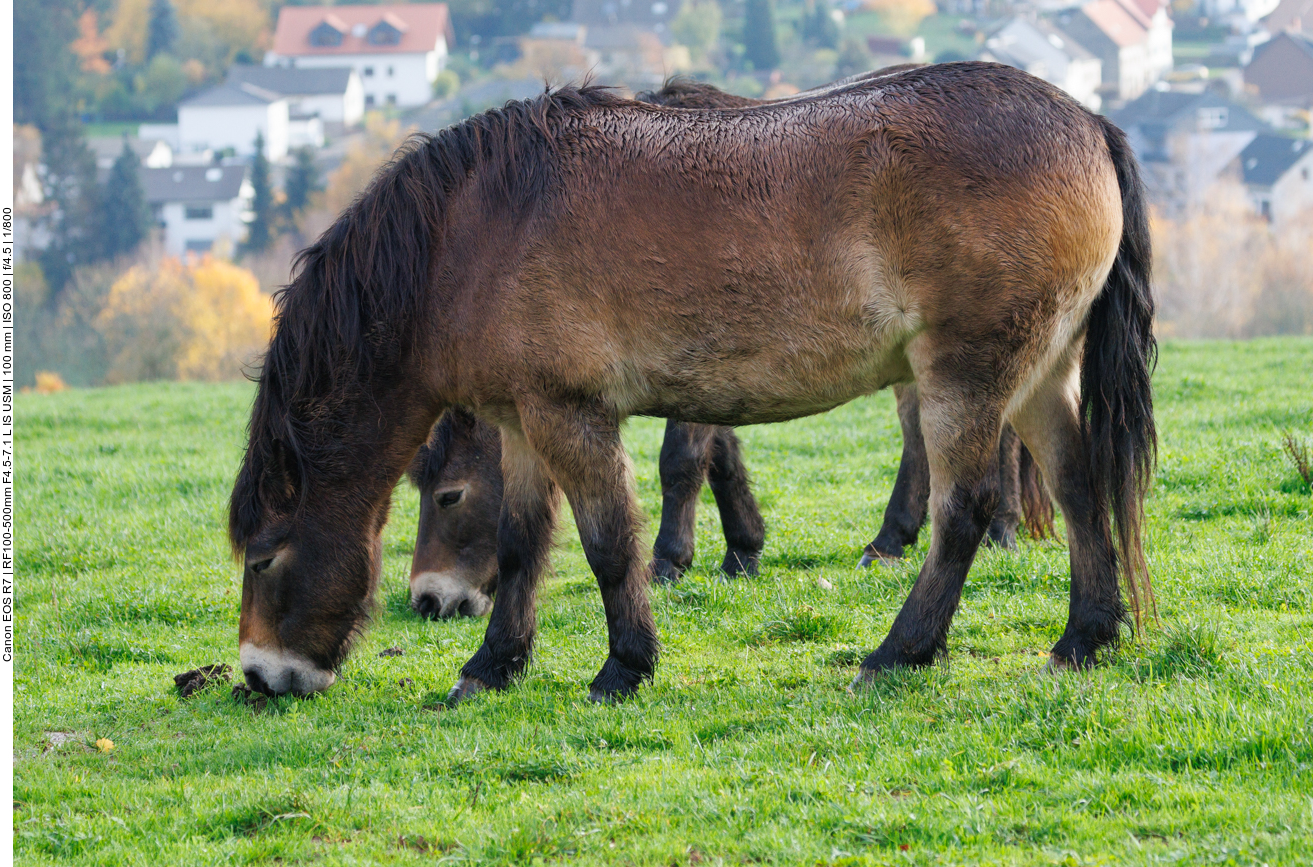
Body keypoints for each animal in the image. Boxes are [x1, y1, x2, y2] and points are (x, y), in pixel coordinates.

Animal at [231, 67, 1155, 704]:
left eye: (265, 556)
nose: (260, 675)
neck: (479, 224)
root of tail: (1087, 122)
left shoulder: (570, 416)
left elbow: (610, 541)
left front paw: (623, 665)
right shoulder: (522, 421)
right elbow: (525, 543)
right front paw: (493, 664)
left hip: (964, 375)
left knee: (961, 509)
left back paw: (900, 650)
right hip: (1037, 373)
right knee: (1078, 487)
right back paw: (1083, 634)